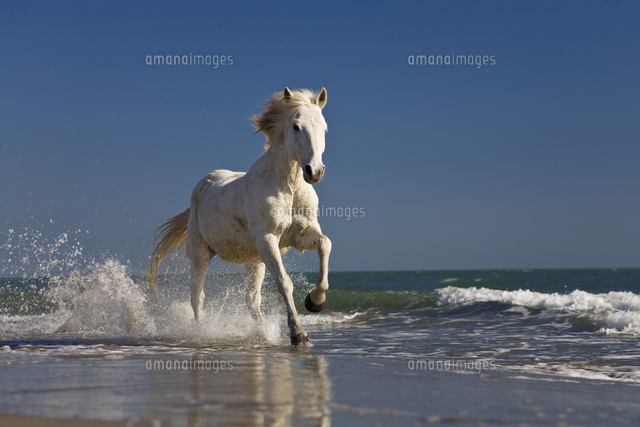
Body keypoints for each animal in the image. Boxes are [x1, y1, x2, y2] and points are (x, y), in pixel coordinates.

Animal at [148, 87, 331, 345]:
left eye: (324, 128)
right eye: (296, 126)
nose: (314, 171)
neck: (289, 186)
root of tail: (204, 182)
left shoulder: (301, 235)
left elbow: (325, 244)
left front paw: (314, 301)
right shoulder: (267, 239)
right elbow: (285, 282)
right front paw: (298, 333)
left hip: (255, 261)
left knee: (251, 300)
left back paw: (261, 334)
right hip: (200, 254)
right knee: (197, 297)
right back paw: (201, 333)